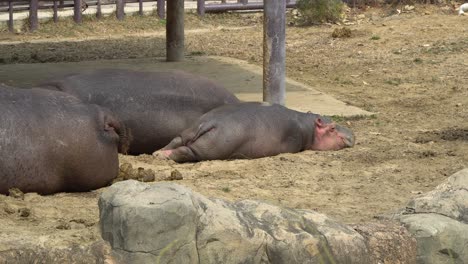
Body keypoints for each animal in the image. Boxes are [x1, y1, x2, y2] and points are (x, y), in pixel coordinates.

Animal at [154, 101, 354, 162]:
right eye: (333, 128)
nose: (353, 133)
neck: (309, 127)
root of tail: (207, 123)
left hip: (189, 131)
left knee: (176, 141)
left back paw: (158, 154)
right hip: (209, 148)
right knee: (186, 151)